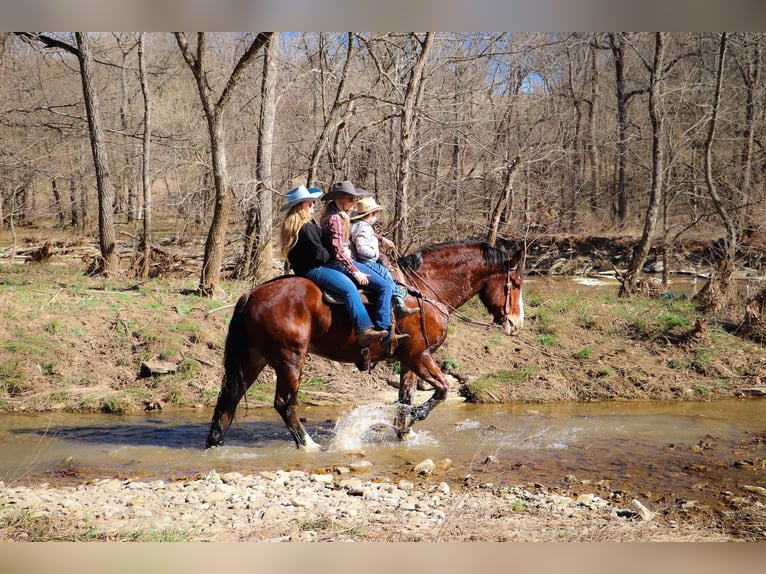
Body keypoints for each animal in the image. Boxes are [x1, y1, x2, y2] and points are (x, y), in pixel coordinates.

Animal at [207, 241, 524, 452]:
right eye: (517, 283)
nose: (516, 323)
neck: (425, 291)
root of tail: (251, 294)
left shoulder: (409, 360)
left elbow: (406, 396)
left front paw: (404, 431)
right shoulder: (420, 355)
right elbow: (443, 390)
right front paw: (415, 418)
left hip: (254, 358)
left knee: (229, 399)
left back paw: (215, 442)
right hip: (290, 359)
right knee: (284, 403)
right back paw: (308, 444)